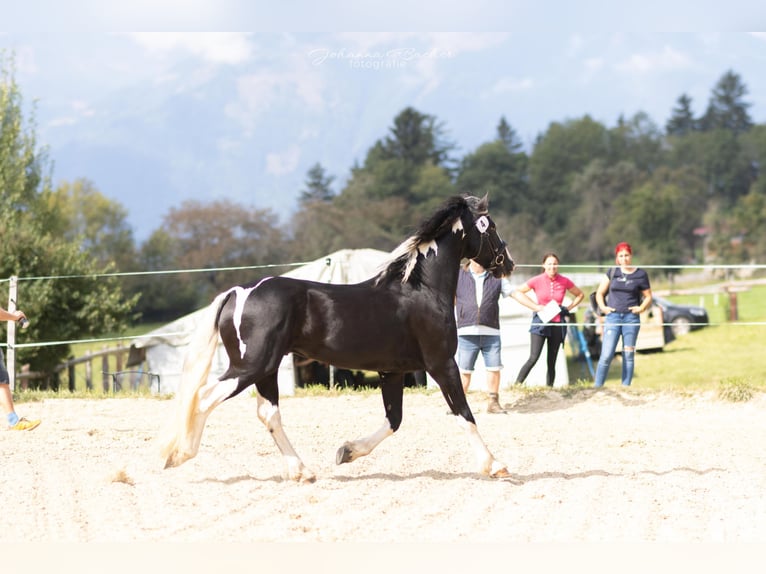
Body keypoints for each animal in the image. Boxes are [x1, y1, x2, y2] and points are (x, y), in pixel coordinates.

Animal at [164, 196, 520, 484]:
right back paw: (178, 454)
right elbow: (464, 414)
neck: (421, 290)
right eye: (491, 227)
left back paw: (302, 472)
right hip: (250, 366)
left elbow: (394, 421)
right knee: (204, 396)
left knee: (268, 413)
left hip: (265, 369)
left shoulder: (393, 372)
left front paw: (346, 451)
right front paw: (495, 466)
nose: (509, 263)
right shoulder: (441, 364)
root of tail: (238, 292)